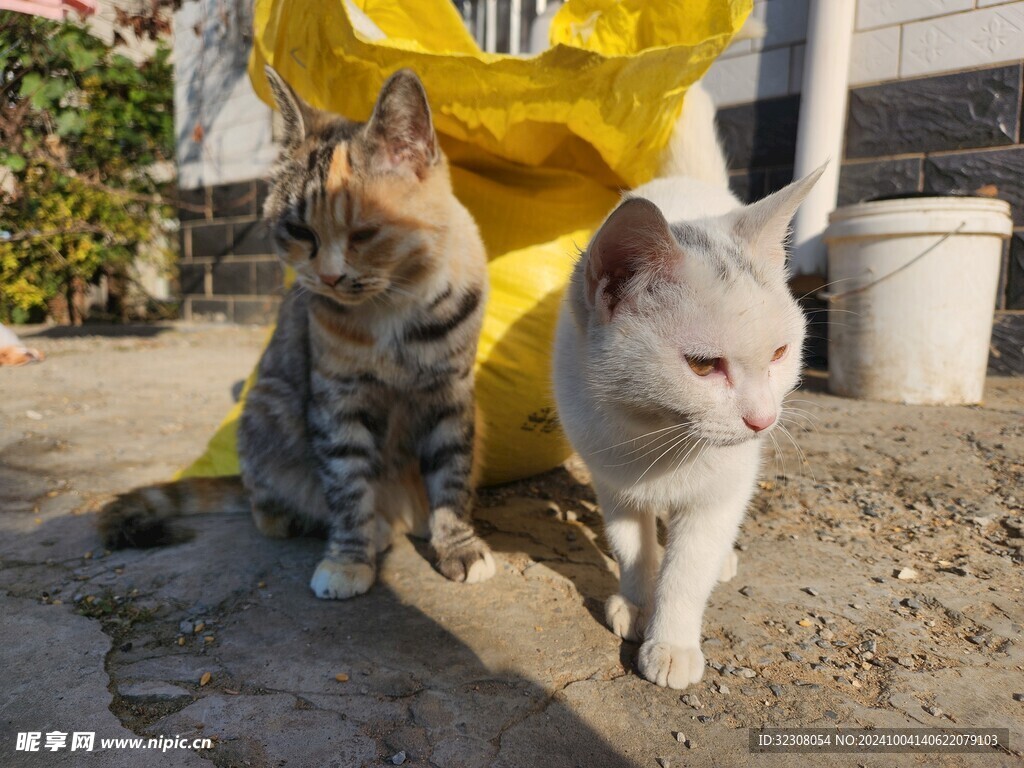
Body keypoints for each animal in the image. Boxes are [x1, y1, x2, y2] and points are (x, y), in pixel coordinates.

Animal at [100, 69, 495, 602]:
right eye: (299, 231)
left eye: (364, 233)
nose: (328, 278)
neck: (394, 307)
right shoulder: (336, 399)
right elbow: (348, 486)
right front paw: (348, 559)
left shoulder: (450, 394)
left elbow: (451, 475)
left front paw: (458, 545)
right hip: (267, 408)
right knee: (267, 507)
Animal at [552, 85, 823, 692]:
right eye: (703, 366)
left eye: (779, 354)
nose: (763, 420)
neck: (655, 433)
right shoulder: (610, 479)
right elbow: (633, 549)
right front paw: (635, 603)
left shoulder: (720, 489)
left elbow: (687, 569)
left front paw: (671, 641)